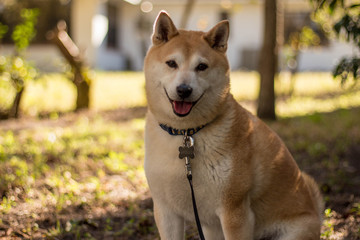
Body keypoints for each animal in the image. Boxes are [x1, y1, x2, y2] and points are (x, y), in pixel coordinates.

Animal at [143, 11, 324, 240]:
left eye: (201, 67)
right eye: (171, 63)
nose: (184, 90)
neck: (186, 132)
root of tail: (316, 213)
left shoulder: (234, 210)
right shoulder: (166, 210)